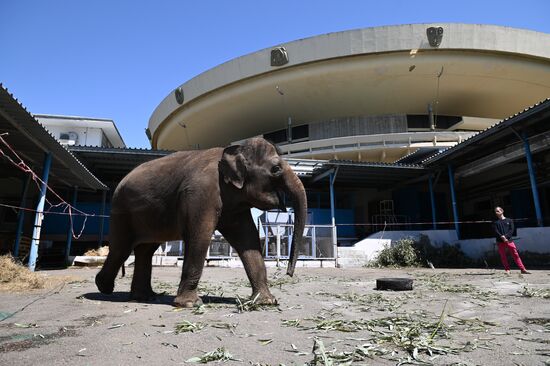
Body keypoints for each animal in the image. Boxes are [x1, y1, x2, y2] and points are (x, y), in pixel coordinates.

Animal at [96, 137, 308, 306]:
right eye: (276, 169)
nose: (288, 274)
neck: (232, 150)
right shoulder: (200, 192)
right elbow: (200, 235)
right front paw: (189, 304)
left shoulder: (235, 205)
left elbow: (248, 239)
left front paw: (266, 302)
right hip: (121, 210)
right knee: (122, 249)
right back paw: (104, 287)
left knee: (145, 250)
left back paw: (144, 297)